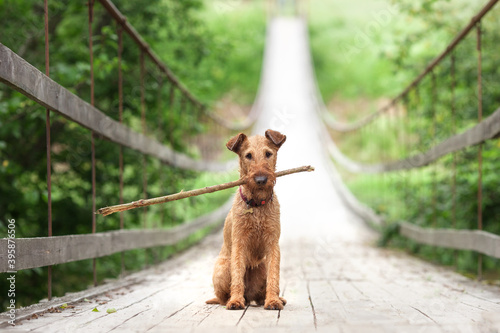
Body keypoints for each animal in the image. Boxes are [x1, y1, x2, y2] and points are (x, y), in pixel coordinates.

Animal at [206, 129, 286, 308]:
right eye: (248, 156)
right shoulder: (239, 243)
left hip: (261, 267)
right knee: (222, 297)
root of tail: (249, 296)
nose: (261, 180)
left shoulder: (273, 244)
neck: (256, 205)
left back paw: (276, 299)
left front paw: (273, 300)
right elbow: (237, 275)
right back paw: (232, 299)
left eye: (268, 154)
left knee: (261, 294)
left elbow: (274, 275)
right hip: (222, 268)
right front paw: (236, 301)